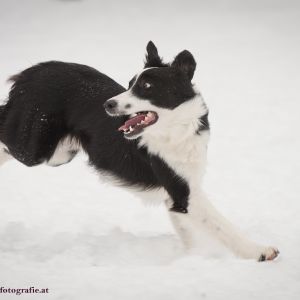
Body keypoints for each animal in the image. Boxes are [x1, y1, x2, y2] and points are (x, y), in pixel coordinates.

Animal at [0, 41, 278, 260]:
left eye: (146, 86)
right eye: (129, 84)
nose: (108, 104)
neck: (175, 129)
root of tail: (31, 71)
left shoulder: (177, 194)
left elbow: (189, 234)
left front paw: (192, 259)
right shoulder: (185, 193)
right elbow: (223, 226)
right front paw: (260, 251)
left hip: (59, 154)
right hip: (34, 148)